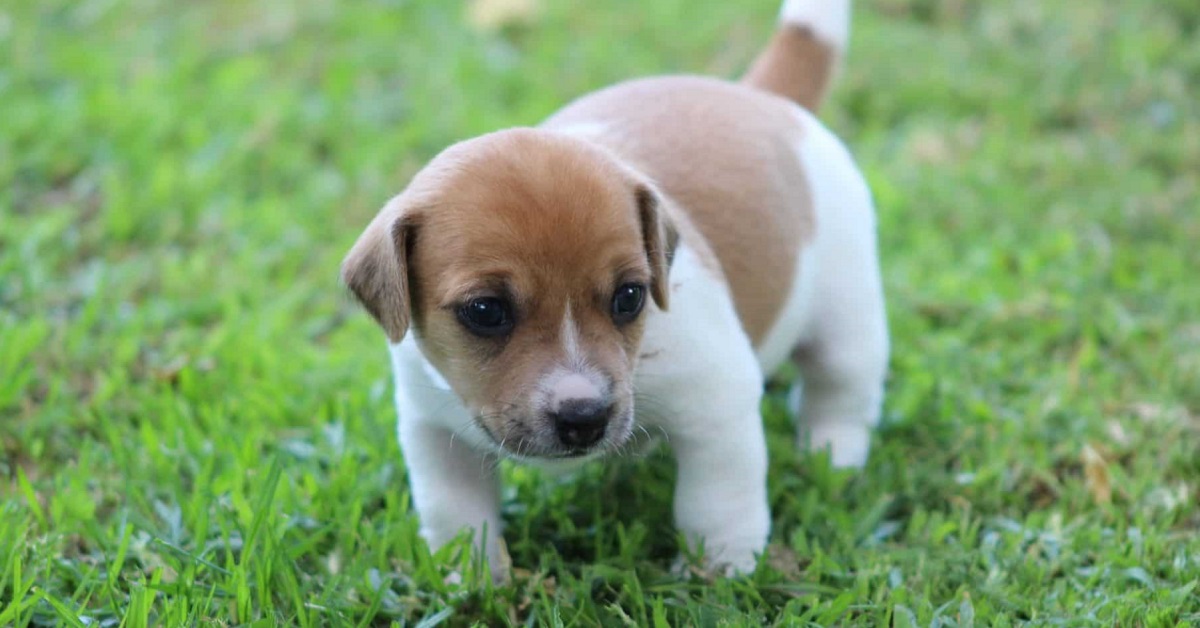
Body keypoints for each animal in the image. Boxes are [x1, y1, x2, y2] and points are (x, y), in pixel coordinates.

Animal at [343, 0, 888, 581]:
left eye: (629, 298)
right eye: (485, 311)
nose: (584, 417)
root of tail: (763, 97)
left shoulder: (718, 404)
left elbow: (716, 504)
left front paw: (720, 572)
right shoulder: (432, 433)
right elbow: (458, 516)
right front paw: (470, 581)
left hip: (846, 321)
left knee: (841, 391)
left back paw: (830, 457)